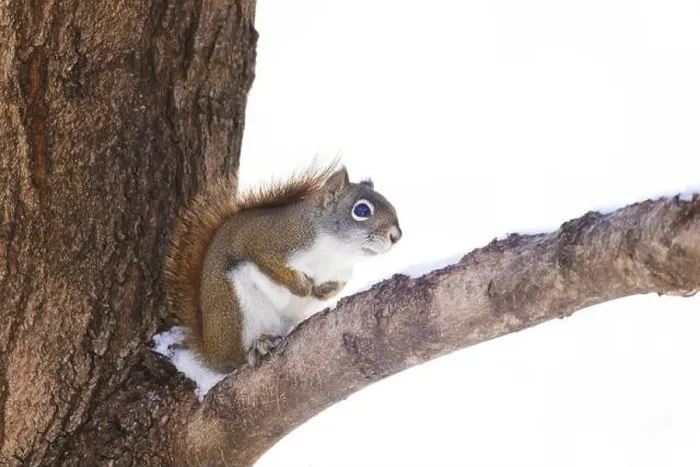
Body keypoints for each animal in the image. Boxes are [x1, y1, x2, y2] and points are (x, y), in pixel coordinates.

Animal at [164, 160, 402, 373]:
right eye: (361, 210)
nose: (396, 236)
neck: (335, 254)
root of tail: (210, 352)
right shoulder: (266, 243)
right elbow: (274, 267)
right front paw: (302, 287)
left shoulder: (342, 274)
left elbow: (334, 288)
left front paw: (322, 291)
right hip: (235, 309)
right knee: (234, 360)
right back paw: (256, 348)